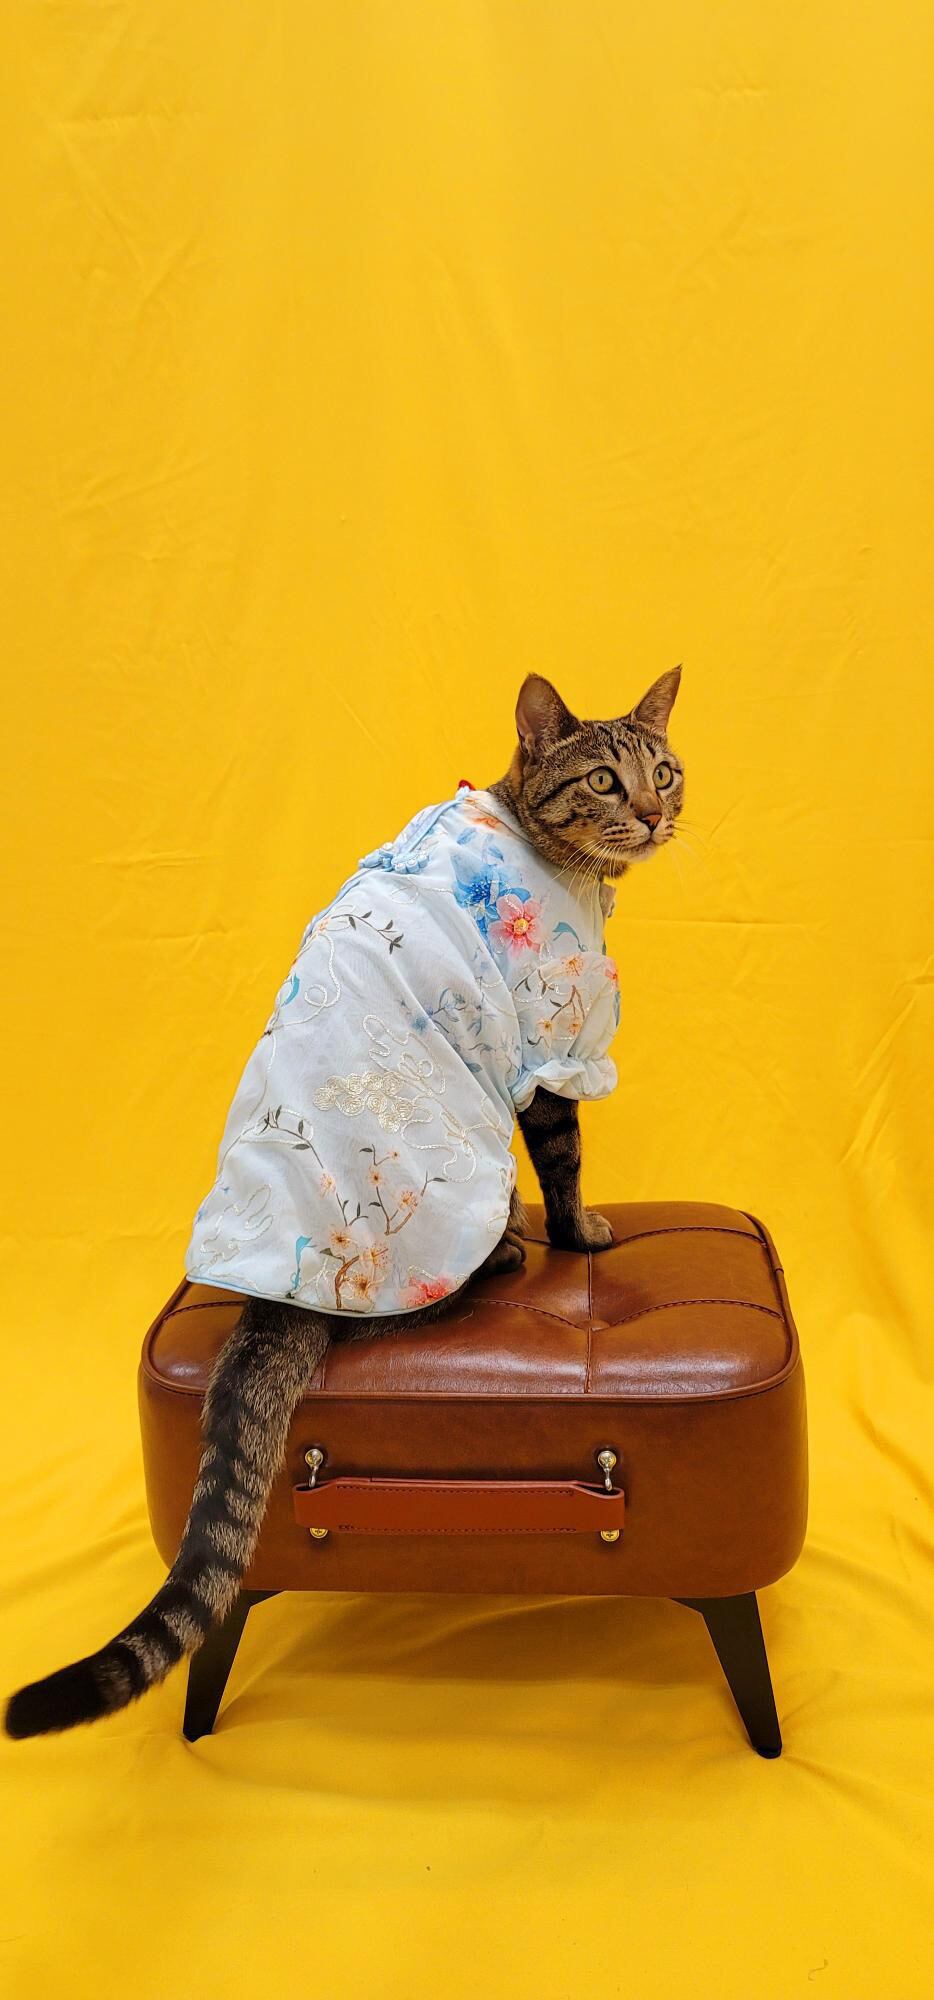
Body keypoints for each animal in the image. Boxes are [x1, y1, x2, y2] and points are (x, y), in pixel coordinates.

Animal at [5, 666, 682, 1738]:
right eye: (606, 781)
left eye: (665, 769)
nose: (656, 812)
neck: (549, 847)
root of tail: (273, 1293)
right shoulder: (551, 1039)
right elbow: (567, 1160)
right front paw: (581, 1234)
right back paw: (505, 1253)